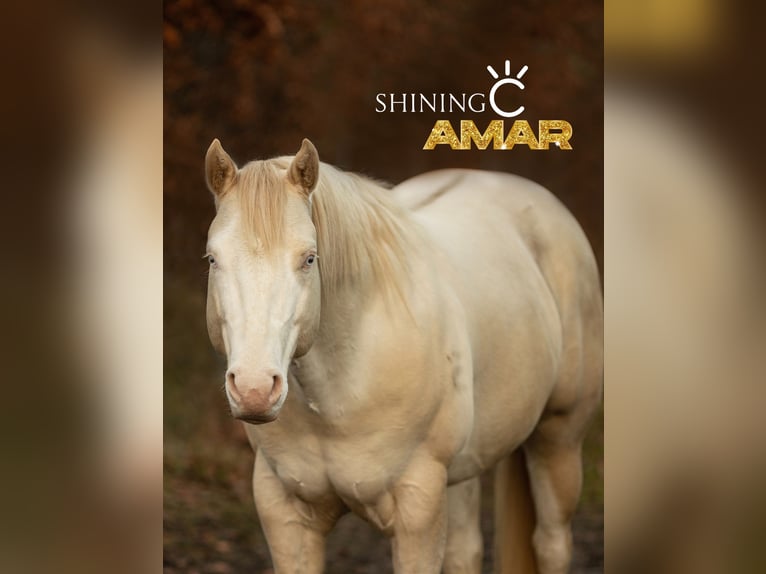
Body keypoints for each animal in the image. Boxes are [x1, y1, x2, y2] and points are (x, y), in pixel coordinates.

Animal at [202, 138, 602, 574]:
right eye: (213, 259)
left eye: (309, 258)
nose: (255, 390)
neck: (340, 391)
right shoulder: (283, 509)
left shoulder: (418, 508)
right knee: (466, 550)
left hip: (559, 438)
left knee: (551, 543)